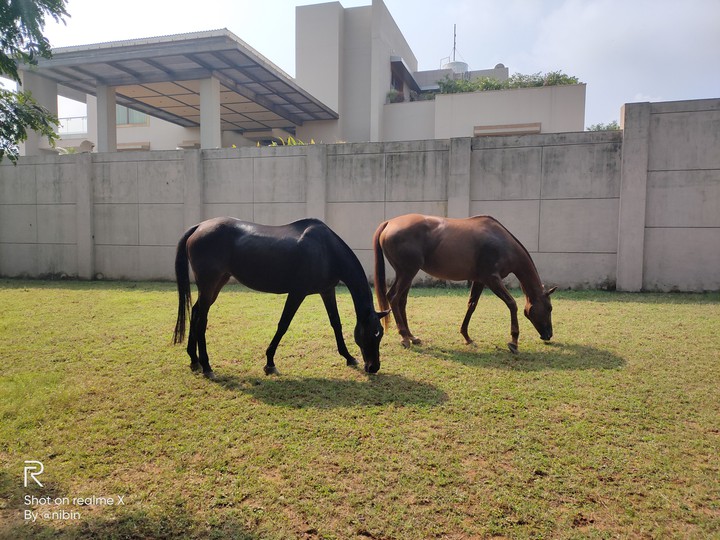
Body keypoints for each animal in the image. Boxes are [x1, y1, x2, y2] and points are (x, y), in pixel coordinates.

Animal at [173, 217, 389, 378]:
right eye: (373, 333)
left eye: (380, 334)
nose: (373, 367)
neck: (326, 250)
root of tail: (199, 227)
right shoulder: (297, 293)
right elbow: (283, 324)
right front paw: (270, 363)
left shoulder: (327, 290)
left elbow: (335, 323)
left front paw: (348, 357)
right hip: (209, 284)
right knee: (201, 320)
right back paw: (207, 366)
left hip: (216, 284)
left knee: (195, 312)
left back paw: (194, 360)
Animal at [373, 214, 556, 353]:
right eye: (549, 308)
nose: (548, 334)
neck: (503, 243)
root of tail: (389, 223)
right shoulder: (492, 279)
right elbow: (512, 304)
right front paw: (513, 342)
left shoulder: (480, 280)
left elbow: (471, 305)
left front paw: (466, 336)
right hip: (407, 272)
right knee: (394, 298)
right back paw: (404, 337)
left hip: (406, 274)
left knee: (400, 301)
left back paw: (411, 336)